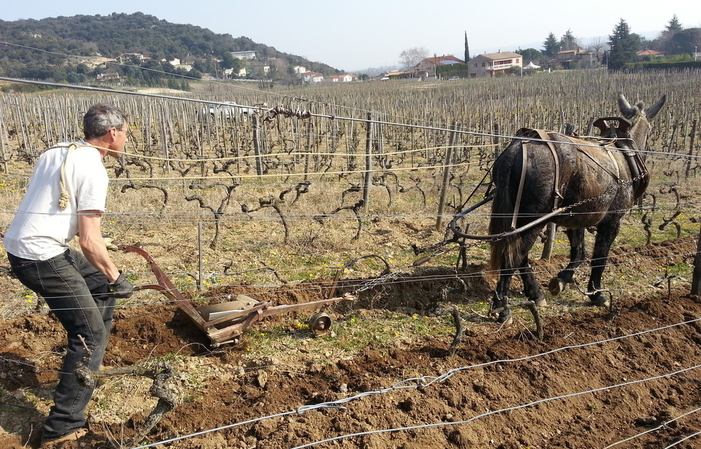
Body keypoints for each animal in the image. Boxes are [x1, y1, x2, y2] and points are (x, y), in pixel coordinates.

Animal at [484, 93, 664, 322]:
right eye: (649, 129)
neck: (623, 154)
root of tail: (519, 148)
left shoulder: (576, 218)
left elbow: (579, 251)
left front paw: (562, 279)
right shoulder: (612, 220)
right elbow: (599, 257)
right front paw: (596, 293)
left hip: (521, 217)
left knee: (519, 254)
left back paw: (535, 293)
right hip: (533, 218)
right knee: (513, 257)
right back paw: (502, 307)